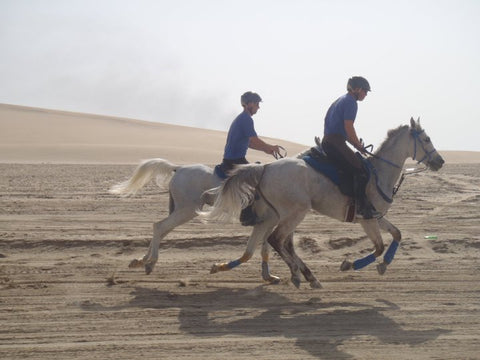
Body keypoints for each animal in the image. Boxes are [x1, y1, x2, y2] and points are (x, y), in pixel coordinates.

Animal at [109, 158, 282, 282]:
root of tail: (178, 168)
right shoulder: (268, 220)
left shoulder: (269, 221)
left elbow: (265, 247)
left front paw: (269, 276)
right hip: (188, 210)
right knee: (159, 227)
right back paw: (150, 263)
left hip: (179, 209)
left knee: (162, 229)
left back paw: (141, 261)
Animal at [204, 119, 444, 288]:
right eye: (426, 139)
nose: (440, 161)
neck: (379, 173)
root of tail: (264, 168)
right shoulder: (366, 220)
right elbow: (378, 247)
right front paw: (350, 265)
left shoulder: (377, 216)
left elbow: (397, 234)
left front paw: (384, 265)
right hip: (295, 213)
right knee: (276, 240)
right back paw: (300, 275)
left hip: (280, 215)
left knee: (275, 243)